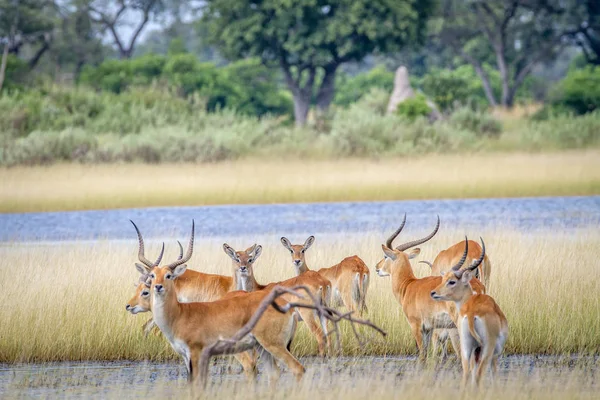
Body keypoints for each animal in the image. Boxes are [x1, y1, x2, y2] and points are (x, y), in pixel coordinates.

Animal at [376, 217, 488, 360]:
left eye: (385, 256)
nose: (377, 268)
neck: (408, 285)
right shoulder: (429, 329)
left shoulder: (417, 326)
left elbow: (422, 355)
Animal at [428, 238, 508, 388]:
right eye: (444, 279)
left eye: (451, 281)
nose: (433, 292)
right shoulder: (494, 354)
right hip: (486, 348)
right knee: (479, 374)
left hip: (467, 346)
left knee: (466, 372)